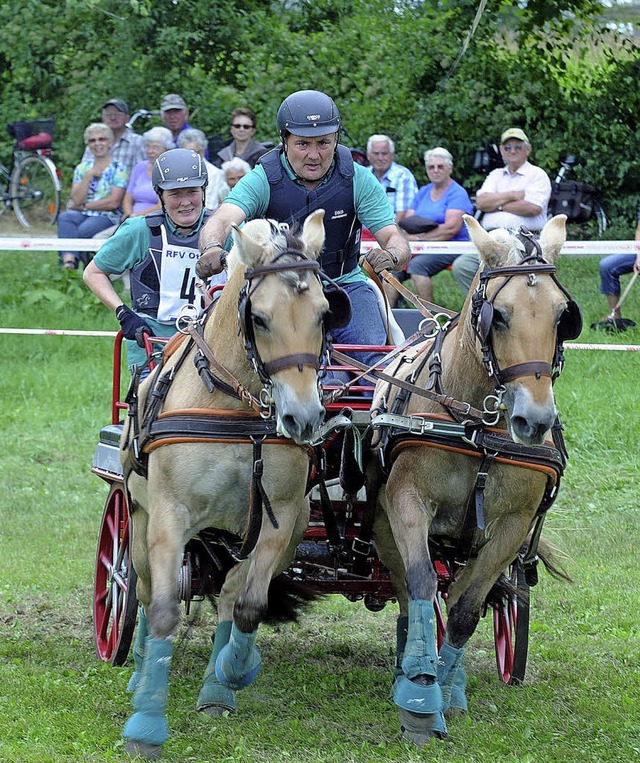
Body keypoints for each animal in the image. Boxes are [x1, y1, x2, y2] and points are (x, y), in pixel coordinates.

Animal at [120, 209, 350, 760]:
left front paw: (233, 671)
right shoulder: (168, 518)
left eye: (324, 314)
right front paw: (145, 723)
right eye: (259, 318)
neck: (233, 408)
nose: (302, 418)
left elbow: (248, 605)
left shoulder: (279, 521)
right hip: (136, 519)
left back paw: (217, 688)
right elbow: (164, 610)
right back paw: (138, 672)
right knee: (143, 589)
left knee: (229, 592)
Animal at [370, 216, 580, 748]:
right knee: (406, 589)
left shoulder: (513, 527)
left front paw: (444, 690)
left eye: (562, 316)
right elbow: (421, 584)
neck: (477, 426)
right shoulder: (406, 501)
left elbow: (466, 609)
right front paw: (421, 699)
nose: (534, 420)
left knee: (462, 591)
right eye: (498, 316)